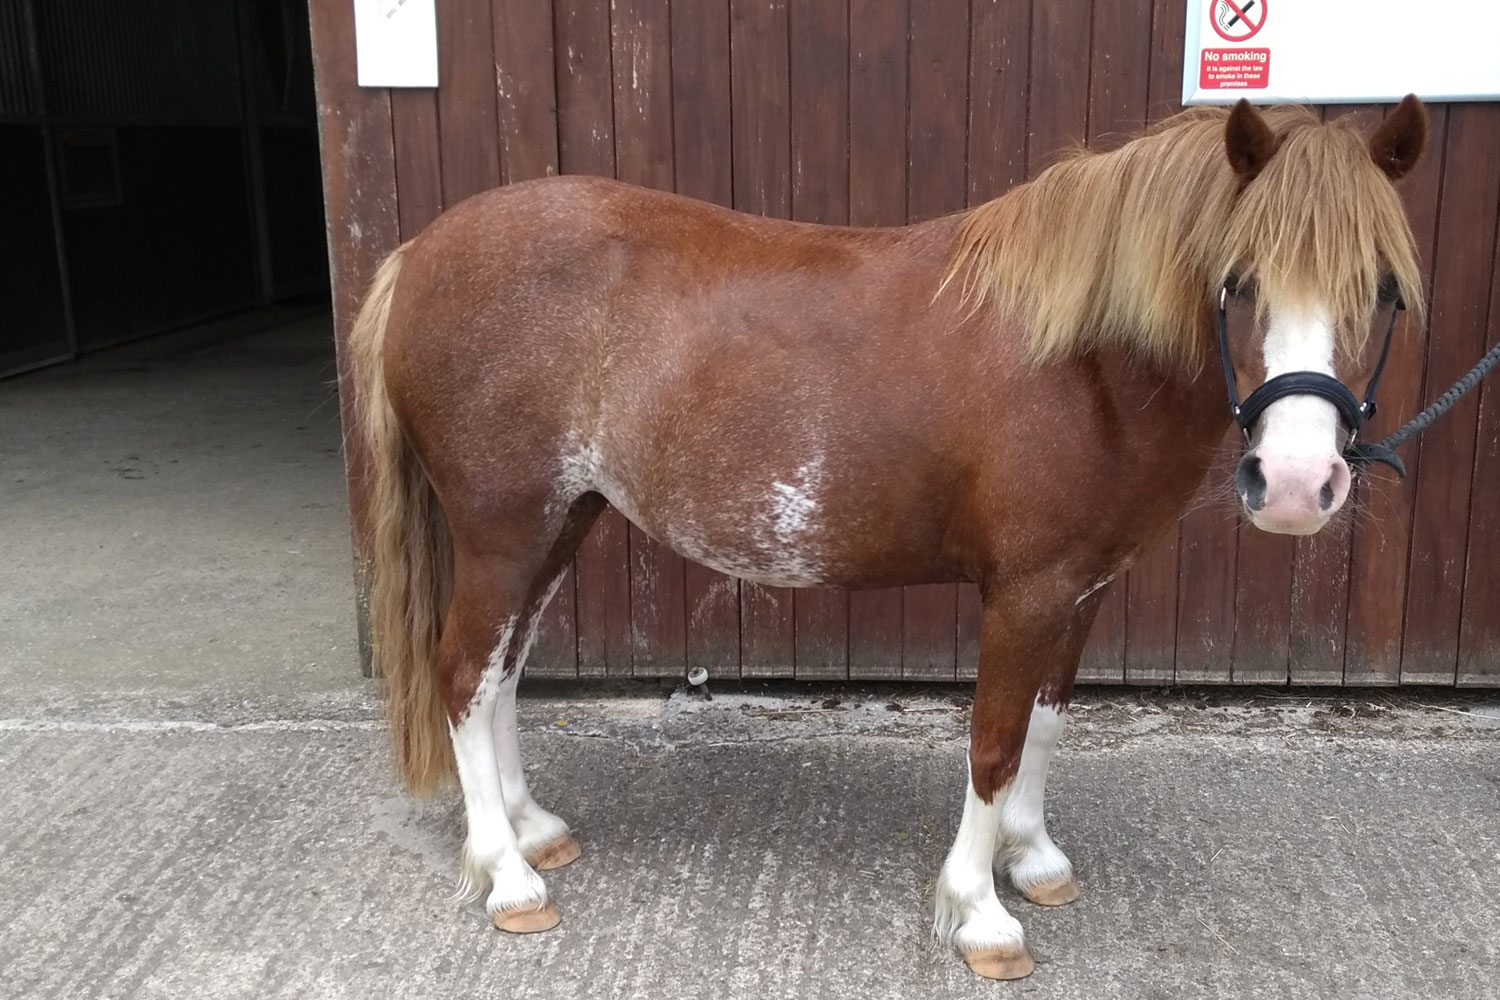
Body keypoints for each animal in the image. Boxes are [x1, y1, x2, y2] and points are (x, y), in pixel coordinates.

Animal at [348, 99, 1428, 977]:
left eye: (1384, 290)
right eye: (1237, 282)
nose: (1296, 484)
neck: (1079, 359)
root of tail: (419, 254)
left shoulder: (1082, 589)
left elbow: (1047, 725)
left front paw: (1034, 860)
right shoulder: (1027, 592)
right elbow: (993, 743)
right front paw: (981, 912)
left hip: (559, 522)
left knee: (503, 670)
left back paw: (532, 831)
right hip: (503, 530)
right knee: (463, 674)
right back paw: (508, 877)